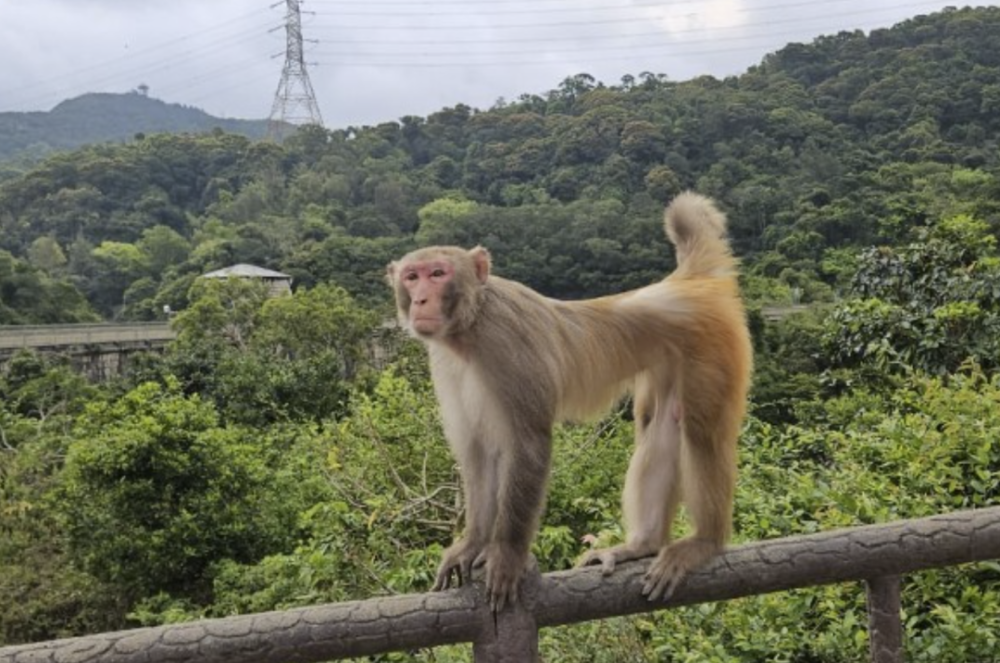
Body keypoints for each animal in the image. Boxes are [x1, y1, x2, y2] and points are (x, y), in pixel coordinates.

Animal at [388, 192, 752, 612]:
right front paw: (472, 543)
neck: (471, 323)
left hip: (714, 347)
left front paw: (507, 555)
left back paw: (705, 541)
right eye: (411, 277)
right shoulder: (446, 363)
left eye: (437, 273)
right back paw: (642, 545)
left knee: (700, 433)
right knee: (661, 424)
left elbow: (529, 443)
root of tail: (687, 283)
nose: (420, 300)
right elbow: (478, 451)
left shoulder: (506, 343)